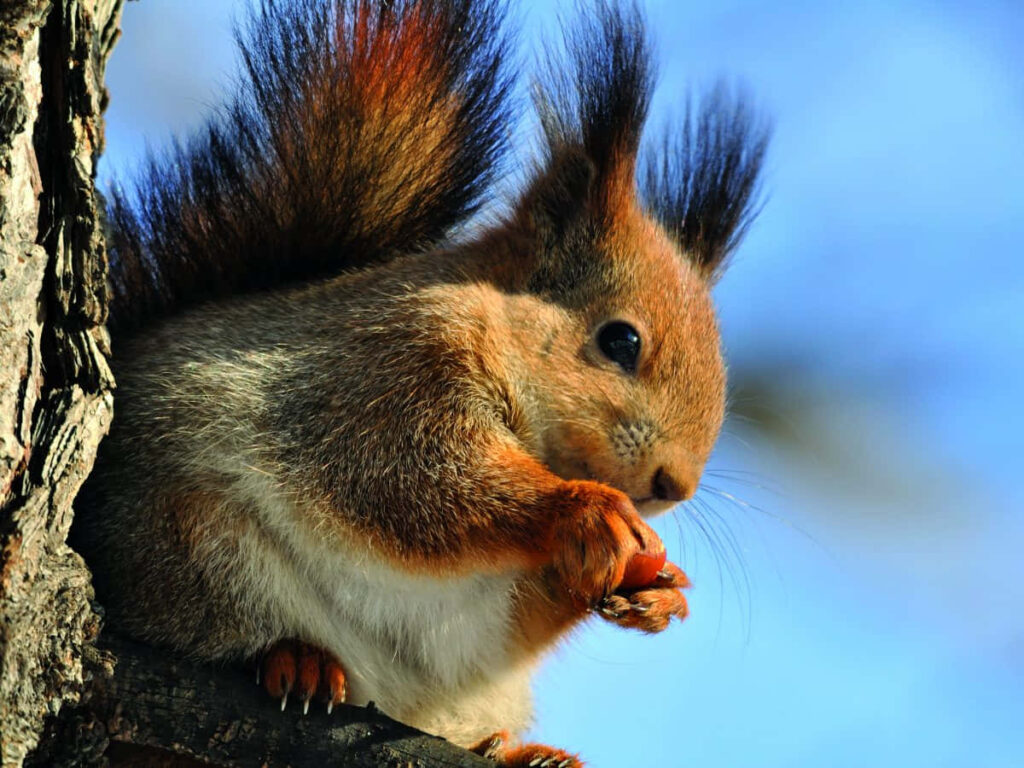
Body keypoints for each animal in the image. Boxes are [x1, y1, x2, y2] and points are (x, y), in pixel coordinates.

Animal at [72, 0, 768, 764]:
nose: (674, 485)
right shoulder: (384, 370)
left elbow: (523, 603)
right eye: (621, 340)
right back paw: (294, 660)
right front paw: (581, 509)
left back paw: (516, 751)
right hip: (193, 541)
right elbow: (409, 479)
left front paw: (663, 590)